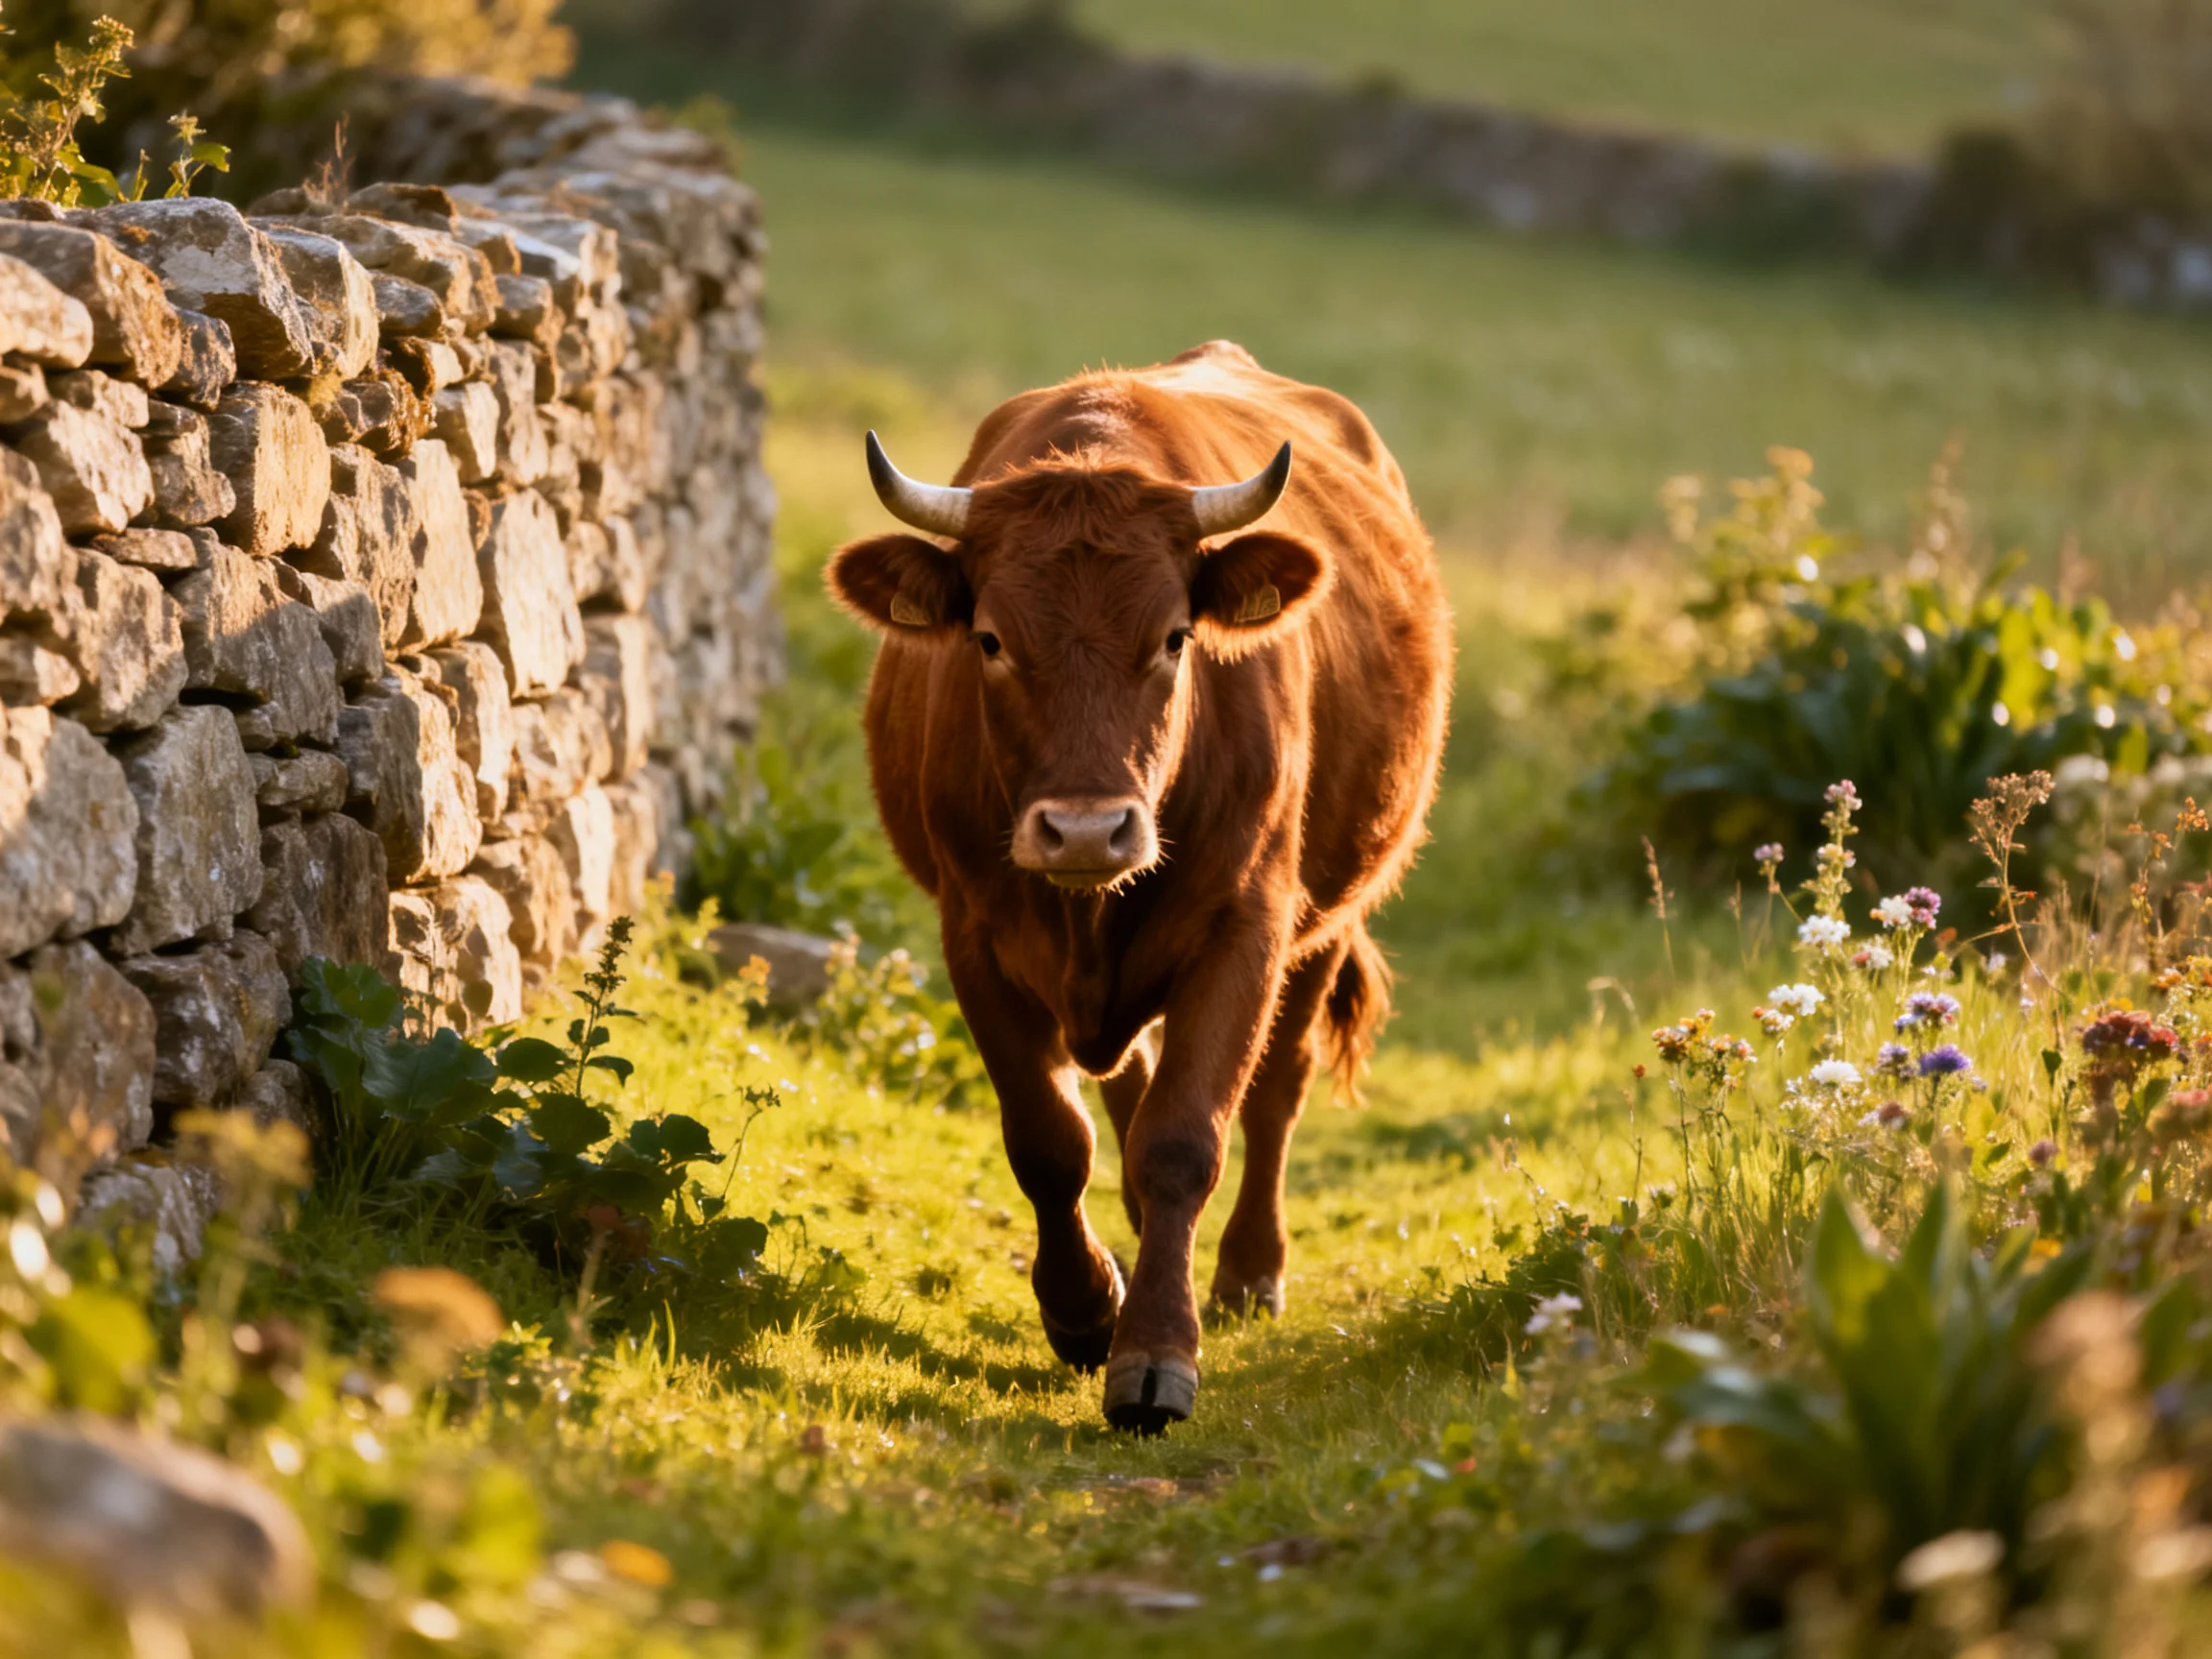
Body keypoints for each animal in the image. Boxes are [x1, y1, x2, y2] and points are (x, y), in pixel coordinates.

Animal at [826, 341, 1452, 1431]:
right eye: (990, 639)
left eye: (1172, 638)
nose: (1085, 827)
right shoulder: (973, 936)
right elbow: (1050, 1140)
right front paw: (1083, 1311)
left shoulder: (1245, 928)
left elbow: (1185, 1138)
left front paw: (1156, 1352)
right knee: (1126, 1083)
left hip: (1329, 920)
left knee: (1275, 1091)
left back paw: (1247, 1271)